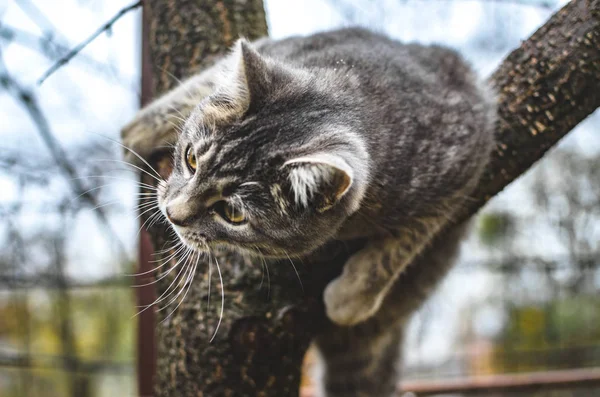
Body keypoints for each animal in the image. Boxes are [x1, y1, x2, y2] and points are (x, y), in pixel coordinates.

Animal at [123, 28, 496, 396]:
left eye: (232, 214)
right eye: (191, 159)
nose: (173, 213)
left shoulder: (465, 160)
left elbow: (405, 242)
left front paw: (349, 298)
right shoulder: (283, 48)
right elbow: (196, 87)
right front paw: (134, 133)